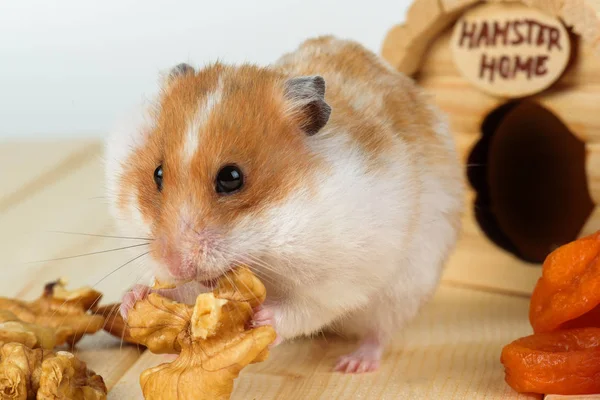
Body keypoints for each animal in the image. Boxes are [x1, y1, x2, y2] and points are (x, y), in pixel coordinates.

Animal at [106, 36, 464, 374]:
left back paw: (353, 364)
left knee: (379, 333)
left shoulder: (340, 276)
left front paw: (262, 319)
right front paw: (134, 297)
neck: (270, 239)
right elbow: (183, 291)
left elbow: (305, 310)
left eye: (231, 177)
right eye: (158, 174)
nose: (174, 264)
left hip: (403, 291)